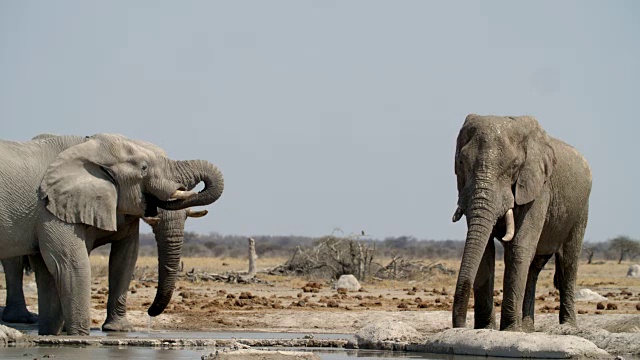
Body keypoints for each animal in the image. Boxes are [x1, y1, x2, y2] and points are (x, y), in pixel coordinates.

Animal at [0, 134, 225, 334]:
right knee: (14, 262)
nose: (150, 312)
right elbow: (72, 264)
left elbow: (125, 257)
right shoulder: (52, 210)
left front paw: (117, 330)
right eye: (144, 168)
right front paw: (76, 336)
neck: (88, 145)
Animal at [450, 114, 592, 332]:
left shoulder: (538, 188)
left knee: (568, 263)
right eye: (461, 161)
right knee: (534, 268)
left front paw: (509, 330)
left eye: (514, 166)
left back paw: (567, 327)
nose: (460, 326)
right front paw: (485, 329)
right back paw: (527, 328)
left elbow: (519, 246)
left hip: (580, 210)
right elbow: (485, 251)